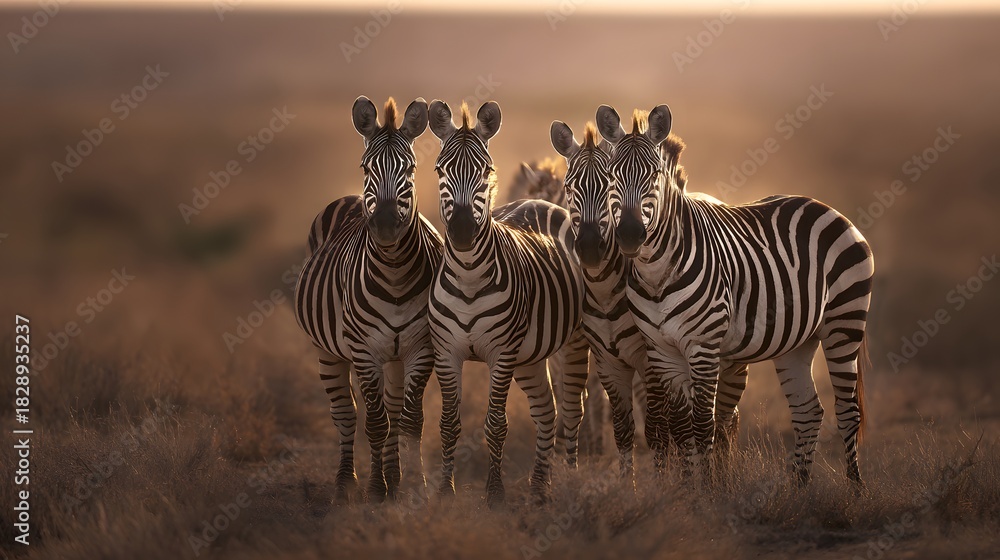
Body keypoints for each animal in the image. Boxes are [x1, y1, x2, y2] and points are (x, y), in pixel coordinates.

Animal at [293, 96, 443, 502]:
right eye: (365, 167)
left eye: (411, 168)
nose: (387, 224)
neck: (394, 274)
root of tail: (348, 197)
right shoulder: (363, 351)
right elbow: (375, 422)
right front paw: (376, 490)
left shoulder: (421, 348)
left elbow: (410, 420)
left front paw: (415, 486)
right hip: (329, 350)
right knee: (346, 413)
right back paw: (347, 482)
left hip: (393, 356)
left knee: (392, 407)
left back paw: (394, 475)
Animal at [427, 100, 586, 507]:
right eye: (440, 170)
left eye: (486, 171)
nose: (462, 231)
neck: (468, 276)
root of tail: (537, 199)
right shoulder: (446, 351)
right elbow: (448, 424)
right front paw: (445, 491)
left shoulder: (501, 353)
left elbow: (496, 424)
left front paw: (495, 493)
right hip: (529, 356)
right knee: (546, 412)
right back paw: (540, 487)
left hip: (572, 342)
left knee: (571, 410)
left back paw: (570, 480)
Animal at [550, 121, 749, 477]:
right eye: (569, 187)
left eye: (607, 187)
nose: (588, 248)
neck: (605, 292)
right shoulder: (608, 362)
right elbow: (625, 428)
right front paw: (630, 483)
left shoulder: (650, 360)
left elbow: (658, 428)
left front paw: (665, 482)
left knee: (726, 419)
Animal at [597, 104, 874, 483]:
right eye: (611, 176)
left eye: (654, 175)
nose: (628, 234)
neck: (656, 275)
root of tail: (824, 206)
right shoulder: (662, 351)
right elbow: (681, 427)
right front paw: (686, 490)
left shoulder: (703, 347)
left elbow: (702, 424)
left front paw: (708, 489)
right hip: (798, 341)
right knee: (808, 412)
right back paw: (798, 490)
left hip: (844, 325)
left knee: (847, 413)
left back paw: (855, 490)